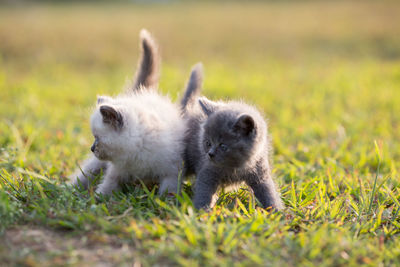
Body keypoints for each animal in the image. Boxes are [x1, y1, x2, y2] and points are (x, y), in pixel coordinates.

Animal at [69, 29, 185, 197]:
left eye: (97, 138)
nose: (91, 148)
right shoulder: (116, 171)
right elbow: (107, 186)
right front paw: (98, 199)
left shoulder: (172, 171)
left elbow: (168, 191)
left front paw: (167, 201)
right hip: (97, 163)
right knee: (87, 173)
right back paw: (68, 188)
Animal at [181, 66, 284, 211]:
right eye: (208, 143)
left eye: (223, 146)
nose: (210, 154)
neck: (236, 166)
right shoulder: (208, 171)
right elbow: (204, 191)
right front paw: (202, 212)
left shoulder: (260, 170)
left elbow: (268, 192)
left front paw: (277, 211)